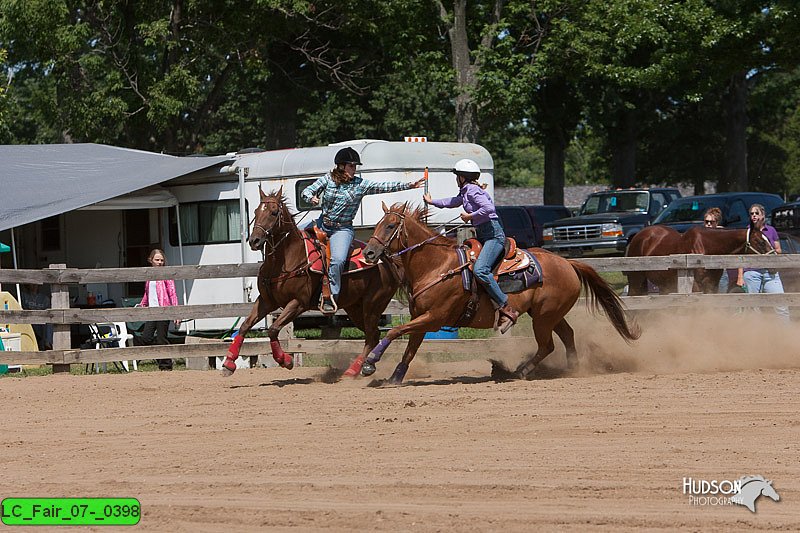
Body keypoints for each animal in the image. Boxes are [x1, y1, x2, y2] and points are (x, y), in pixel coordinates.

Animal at [219, 187, 404, 378]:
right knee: (372, 335)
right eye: (256, 212)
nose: (254, 240)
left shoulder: (298, 303)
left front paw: (286, 361)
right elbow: (244, 326)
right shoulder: (266, 301)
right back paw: (356, 369)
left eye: (274, 212)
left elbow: (273, 329)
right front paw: (229, 363)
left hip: (372, 305)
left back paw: (357, 369)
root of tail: (387, 261)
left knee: (372, 334)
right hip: (355, 308)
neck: (286, 260)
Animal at [360, 203, 640, 382]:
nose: (369, 253)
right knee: (567, 336)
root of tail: (568, 263)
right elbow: (410, 348)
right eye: (378, 224)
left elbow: (395, 331)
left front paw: (370, 363)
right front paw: (395, 377)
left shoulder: (435, 318)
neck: (436, 266)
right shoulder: (422, 318)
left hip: (543, 318)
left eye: (390, 226)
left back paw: (522, 371)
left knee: (547, 345)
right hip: (549, 314)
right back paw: (572, 369)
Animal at [624, 221, 776, 294]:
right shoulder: (695, 286)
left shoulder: (712, 285)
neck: (706, 248)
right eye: (761, 242)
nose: (774, 266)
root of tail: (638, 237)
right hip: (636, 280)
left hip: (664, 285)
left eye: (768, 239)